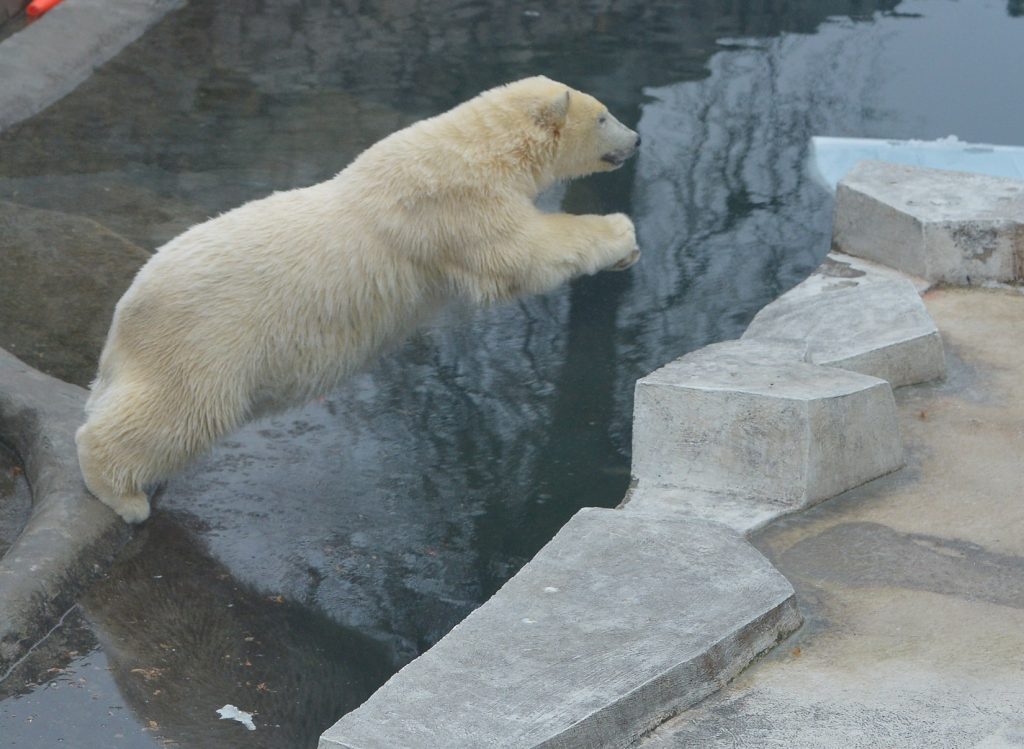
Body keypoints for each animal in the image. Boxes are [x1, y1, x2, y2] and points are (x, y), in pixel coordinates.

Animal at [75, 74, 638, 520]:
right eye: (603, 116)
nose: (635, 140)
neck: (478, 148)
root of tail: (127, 310)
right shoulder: (453, 207)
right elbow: (521, 253)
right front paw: (621, 234)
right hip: (203, 342)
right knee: (181, 414)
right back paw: (123, 495)